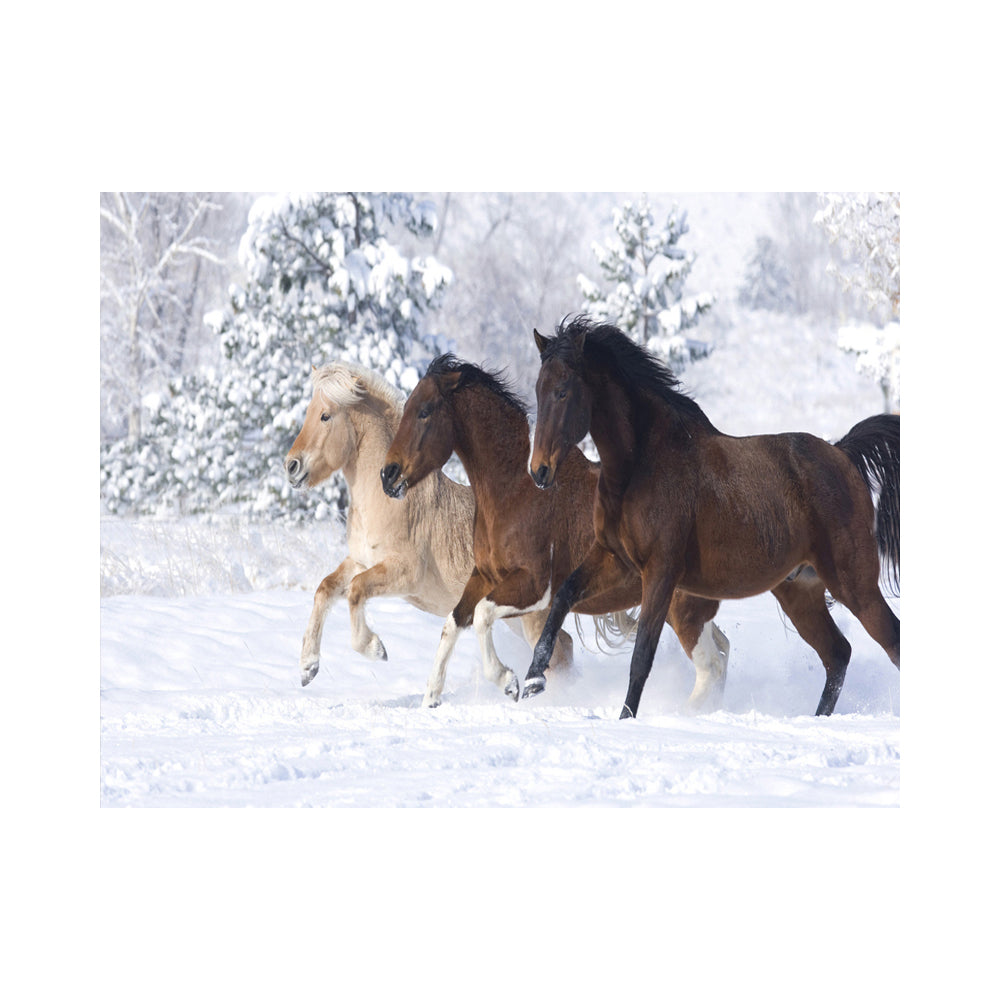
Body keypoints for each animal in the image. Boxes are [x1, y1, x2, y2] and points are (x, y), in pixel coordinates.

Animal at [284, 361, 571, 691]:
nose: (291, 466)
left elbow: (356, 591)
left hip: (531, 616)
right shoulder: (360, 561)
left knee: (560, 653)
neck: (388, 501)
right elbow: (325, 589)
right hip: (516, 619)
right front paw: (308, 667)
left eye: (325, 415)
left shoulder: (404, 573)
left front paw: (375, 648)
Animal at [379, 353, 730, 709]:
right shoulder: (485, 576)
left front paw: (508, 681)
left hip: (682, 608)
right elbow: (453, 623)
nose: (388, 475)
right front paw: (431, 699)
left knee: (711, 666)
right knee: (721, 652)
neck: (515, 491)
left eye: (424, 411)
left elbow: (481, 615)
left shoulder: (534, 586)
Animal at [525, 315, 900, 720]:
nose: (539, 471)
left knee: (890, 641)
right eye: (538, 389)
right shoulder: (615, 560)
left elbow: (641, 656)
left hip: (854, 583)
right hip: (801, 591)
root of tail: (842, 453)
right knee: (837, 654)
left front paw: (625, 718)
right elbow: (562, 596)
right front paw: (533, 680)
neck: (641, 464)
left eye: (563, 391)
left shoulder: (660, 572)